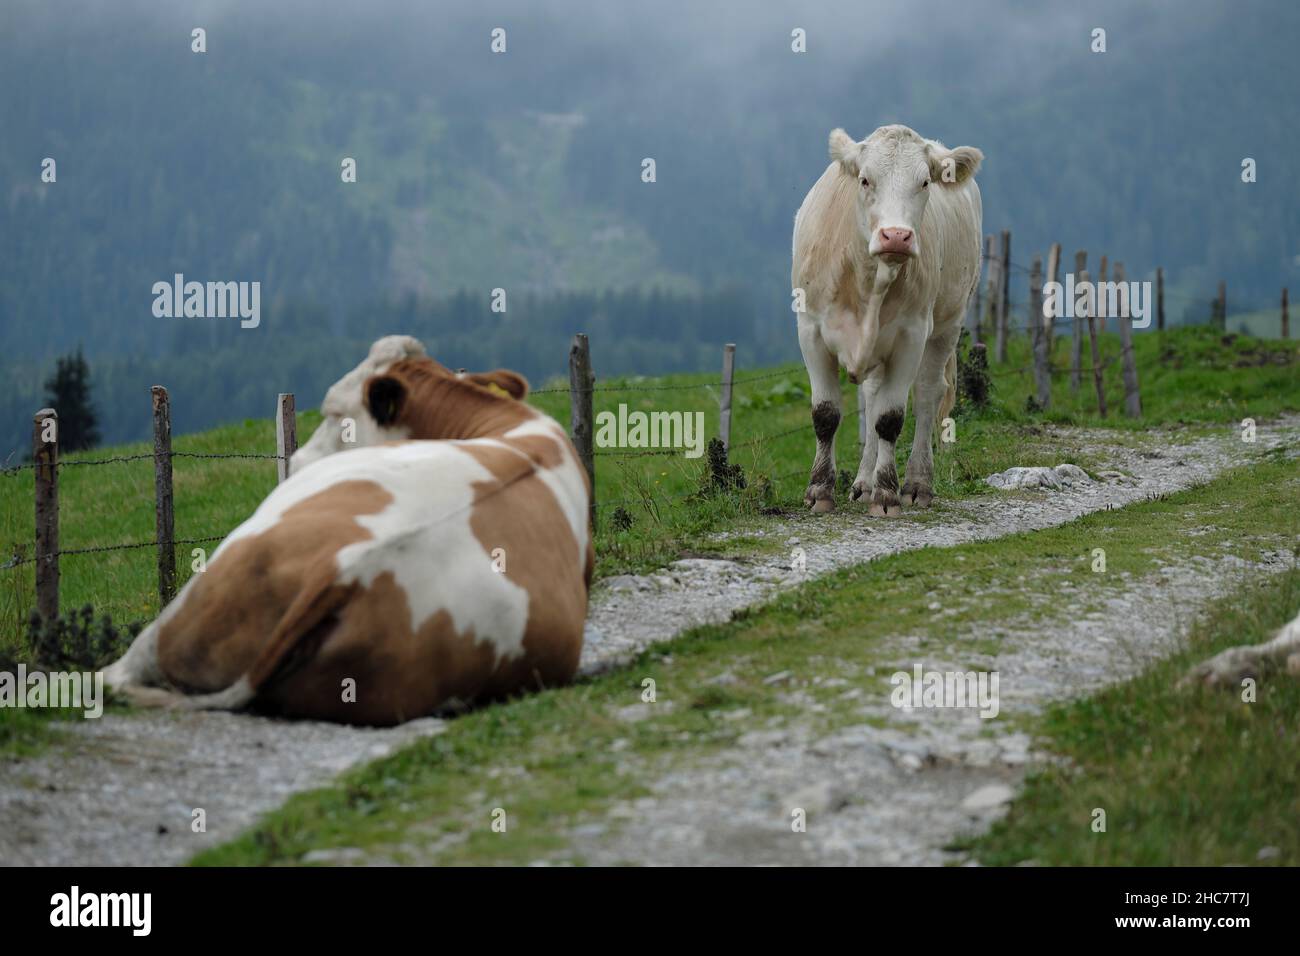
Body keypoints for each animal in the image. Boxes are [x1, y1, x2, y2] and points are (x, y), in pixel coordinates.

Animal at [792, 124, 983, 515]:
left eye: (925, 182)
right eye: (865, 180)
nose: (896, 236)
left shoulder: (911, 334)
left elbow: (890, 418)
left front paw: (887, 493)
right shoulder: (810, 330)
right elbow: (826, 414)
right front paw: (820, 490)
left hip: (947, 325)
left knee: (926, 395)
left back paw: (916, 484)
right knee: (871, 396)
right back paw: (863, 482)